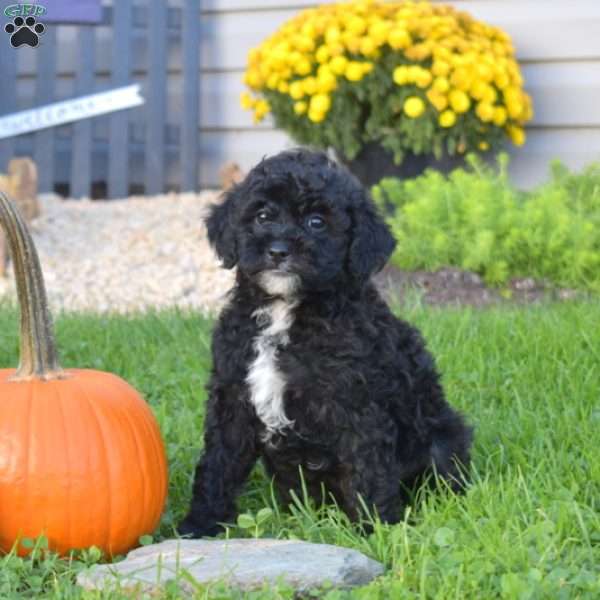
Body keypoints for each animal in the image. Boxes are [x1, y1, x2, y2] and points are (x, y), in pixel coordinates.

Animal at [179, 149, 474, 536]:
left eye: (317, 222)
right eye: (262, 215)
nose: (278, 251)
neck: (286, 309)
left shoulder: (356, 403)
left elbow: (368, 469)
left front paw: (377, 530)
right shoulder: (232, 395)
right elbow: (218, 464)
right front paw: (200, 524)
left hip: (443, 437)